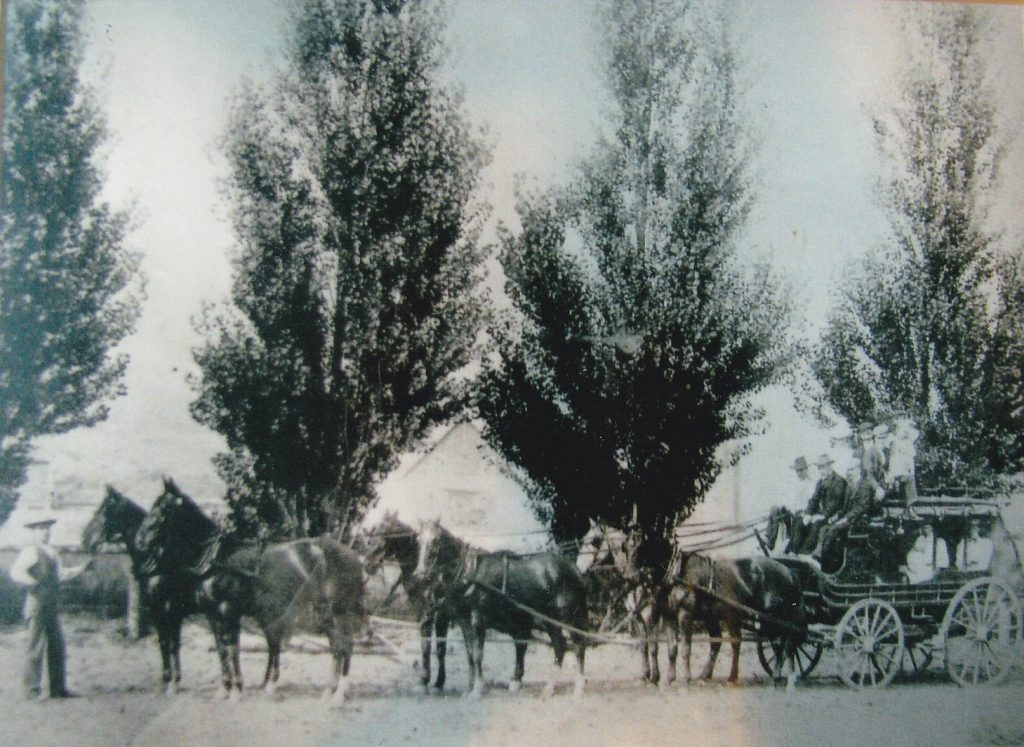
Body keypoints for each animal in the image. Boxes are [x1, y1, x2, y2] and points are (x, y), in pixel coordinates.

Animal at [364, 510, 452, 688]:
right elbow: (439, 647)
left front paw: (425, 677)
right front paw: (439, 680)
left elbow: (427, 643)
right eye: (375, 529)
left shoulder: (430, 613)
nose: (368, 565)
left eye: (385, 532)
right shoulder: (435, 615)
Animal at [407, 518, 585, 700]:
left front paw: (477, 689)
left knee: (576, 645)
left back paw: (575, 688)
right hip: (548, 620)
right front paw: (469, 687)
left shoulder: (478, 620)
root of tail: (573, 568)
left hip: (566, 617)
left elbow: (478, 654)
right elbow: (470, 654)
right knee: (559, 645)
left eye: (435, 540)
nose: (420, 573)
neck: (470, 573)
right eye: (419, 540)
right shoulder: (464, 621)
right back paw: (546, 687)